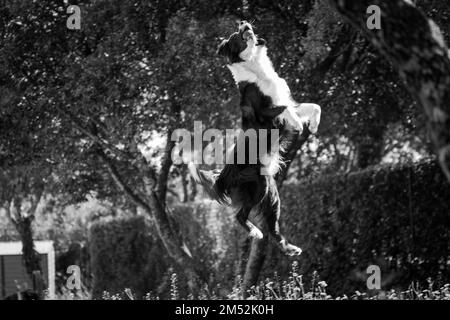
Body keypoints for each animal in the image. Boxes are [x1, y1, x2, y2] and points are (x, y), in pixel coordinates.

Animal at [188, 21, 322, 256]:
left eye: (242, 25)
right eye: (235, 35)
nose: (243, 22)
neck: (256, 66)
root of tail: (222, 177)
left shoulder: (286, 98)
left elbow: (313, 106)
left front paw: (313, 124)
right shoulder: (265, 110)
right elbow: (286, 110)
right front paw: (298, 124)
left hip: (272, 195)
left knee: (273, 227)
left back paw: (290, 248)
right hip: (259, 185)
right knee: (241, 216)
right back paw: (255, 232)